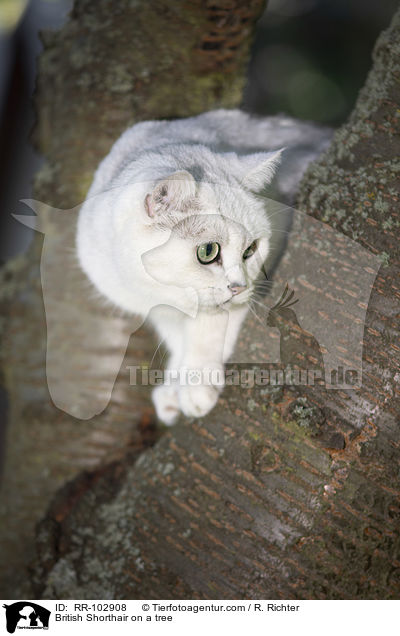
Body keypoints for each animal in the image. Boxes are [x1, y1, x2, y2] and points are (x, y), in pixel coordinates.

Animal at [76, 110, 332, 424]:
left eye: (251, 250)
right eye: (207, 252)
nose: (239, 287)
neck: (160, 292)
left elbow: (207, 330)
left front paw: (195, 385)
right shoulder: (159, 310)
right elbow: (178, 340)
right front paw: (174, 386)